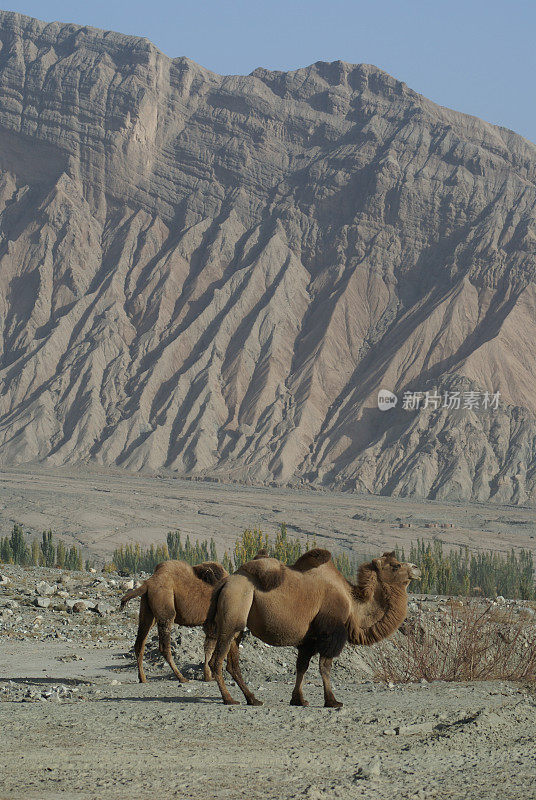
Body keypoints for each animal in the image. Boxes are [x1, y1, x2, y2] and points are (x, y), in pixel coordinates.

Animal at [207, 552, 420, 708]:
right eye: (396, 565)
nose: (417, 568)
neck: (353, 604)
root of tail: (225, 582)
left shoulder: (309, 639)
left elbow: (302, 666)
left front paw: (298, 700)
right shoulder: (331, 633)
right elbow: (324, 666)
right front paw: (332, 701)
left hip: (236, 625)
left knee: (232, 663)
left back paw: (253, 699)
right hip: (233, 609)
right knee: (216, 660)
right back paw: (229, 699)